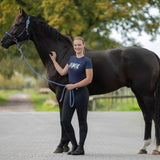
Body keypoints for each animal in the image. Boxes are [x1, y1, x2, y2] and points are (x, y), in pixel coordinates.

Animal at [0, 8, 160, 154]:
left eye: (18, 23)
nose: (3, 41)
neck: (62, 55)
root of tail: (152, 54)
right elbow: (65, 119)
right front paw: (67, 146)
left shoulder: (61, 92)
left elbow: (62, 119)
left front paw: (61, 146)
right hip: (138, 93)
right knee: (147, 117)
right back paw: (143, 147)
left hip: (145, 93)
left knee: (153, 116)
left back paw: (155, 148)